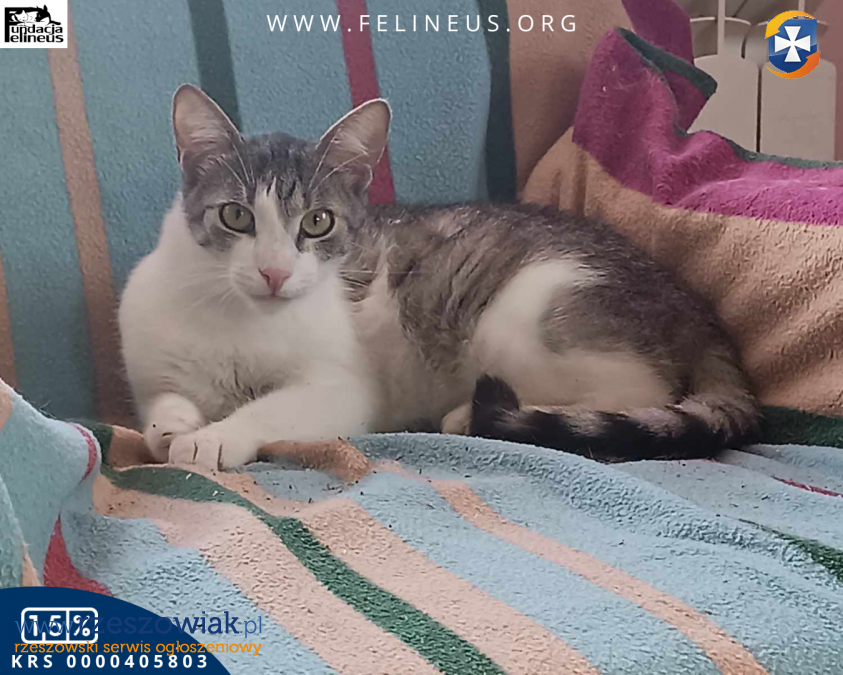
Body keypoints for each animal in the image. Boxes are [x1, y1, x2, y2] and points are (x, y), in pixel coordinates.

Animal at [118, 84, 759, 470]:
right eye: (236, 216)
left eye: (318, 222)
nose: (274, 272)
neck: (238, 320)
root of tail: (692, 304)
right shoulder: (153, 369)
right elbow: (160, 406)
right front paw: (175, 426)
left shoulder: (343, 387)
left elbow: (272, 408)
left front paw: (216, 436)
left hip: (522, 316)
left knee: (636, 394)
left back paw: (464, 415)